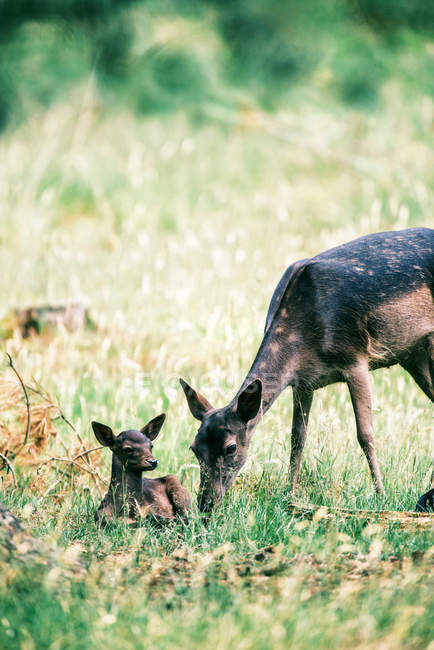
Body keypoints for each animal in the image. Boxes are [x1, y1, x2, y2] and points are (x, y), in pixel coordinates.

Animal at [179, 228, 430, 512]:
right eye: (194, 447)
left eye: (231, 448)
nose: (206, 503)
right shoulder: (304, 383)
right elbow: (297, 439)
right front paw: (289, 495)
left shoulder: (355, 358)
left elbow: (365, 434)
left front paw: (381, 495)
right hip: (412, 354)